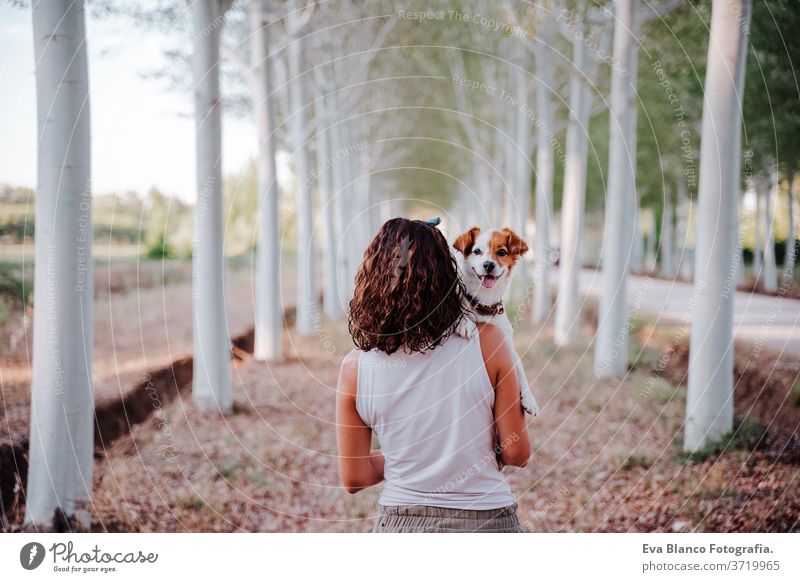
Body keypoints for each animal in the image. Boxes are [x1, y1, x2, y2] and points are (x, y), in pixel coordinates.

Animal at [454, 225, 540, 420]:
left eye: (501, 252)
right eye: (477, 251)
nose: (488, 265)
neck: (485, 303)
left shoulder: (507, 345)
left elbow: (520, 366)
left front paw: (530, 398)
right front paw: (465, 323)